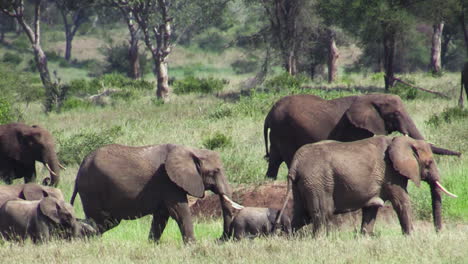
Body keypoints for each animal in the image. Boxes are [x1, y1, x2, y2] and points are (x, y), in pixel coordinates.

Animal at [70, 143, 236, 242]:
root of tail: (80, 168)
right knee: (100, 221)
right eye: (214, 172)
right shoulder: (168, 181)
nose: (218, 239)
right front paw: (192, 246)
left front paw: (152, 244)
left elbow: (161, 216)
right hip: (92, 188)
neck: (190, 150)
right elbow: (179, 211)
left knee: (106, 222)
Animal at [264, 93, 460, 179]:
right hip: (285, 130)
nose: (460, 154)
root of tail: (270, 113)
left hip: (278, 132)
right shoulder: (354, 129)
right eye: (395, 114)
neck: (371, 98)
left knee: (274, 161)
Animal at [278, 135, 458, 236]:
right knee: (322, 213)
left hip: (303, 183)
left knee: (301, 215)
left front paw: (365, 237)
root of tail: (295, 162)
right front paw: (411, 236)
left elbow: (372, 207)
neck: (402, 140)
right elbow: (402, 201)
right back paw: (321, 240)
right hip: (318, 181)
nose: (438, 233)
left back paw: (287, 238)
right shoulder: (391, 174)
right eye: (428, 163)